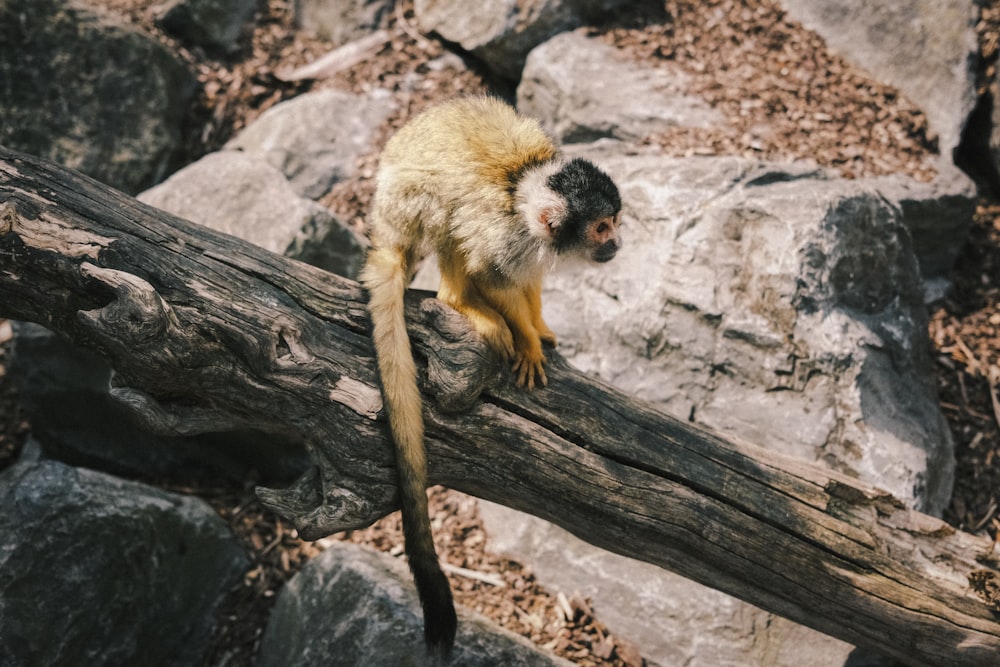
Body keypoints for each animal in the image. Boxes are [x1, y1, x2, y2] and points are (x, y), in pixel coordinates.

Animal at [360, 96, 624, 656]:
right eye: (600, 228)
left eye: (614, 222)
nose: (617, 242)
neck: (523, 195)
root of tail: (384, 224)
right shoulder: (504, 234)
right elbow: (491, 271)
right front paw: (525, 339)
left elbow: (529, 279)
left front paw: (539, 327)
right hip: (407, 209)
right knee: (450, 218)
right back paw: (462, 304)